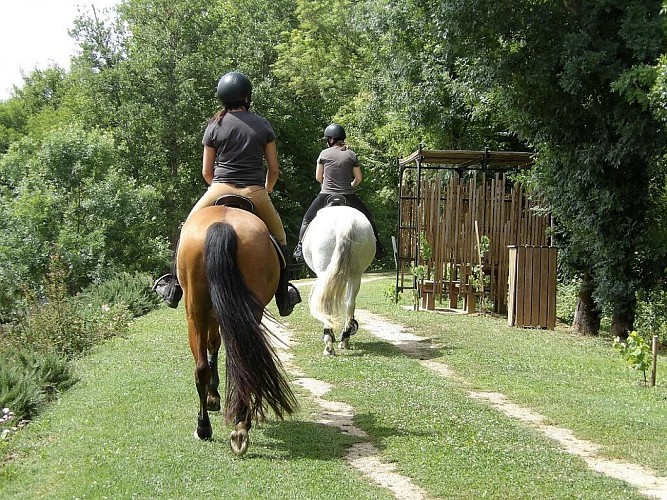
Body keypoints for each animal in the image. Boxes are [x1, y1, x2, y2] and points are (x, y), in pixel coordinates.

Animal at [176, 205, 296, 456]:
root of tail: (223, 225)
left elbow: (213, 345)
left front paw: (213, 398)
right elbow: (214, 345)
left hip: (197, 313)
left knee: (206, 366)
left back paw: (207, 427)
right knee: (234, 363)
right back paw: (237, 426)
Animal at [302, 204, 376, 356]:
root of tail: (345, 221)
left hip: (325, 271)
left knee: (326, 303)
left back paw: (329, 345)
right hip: (355, 275)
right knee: (350, 304)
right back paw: (345, 338)